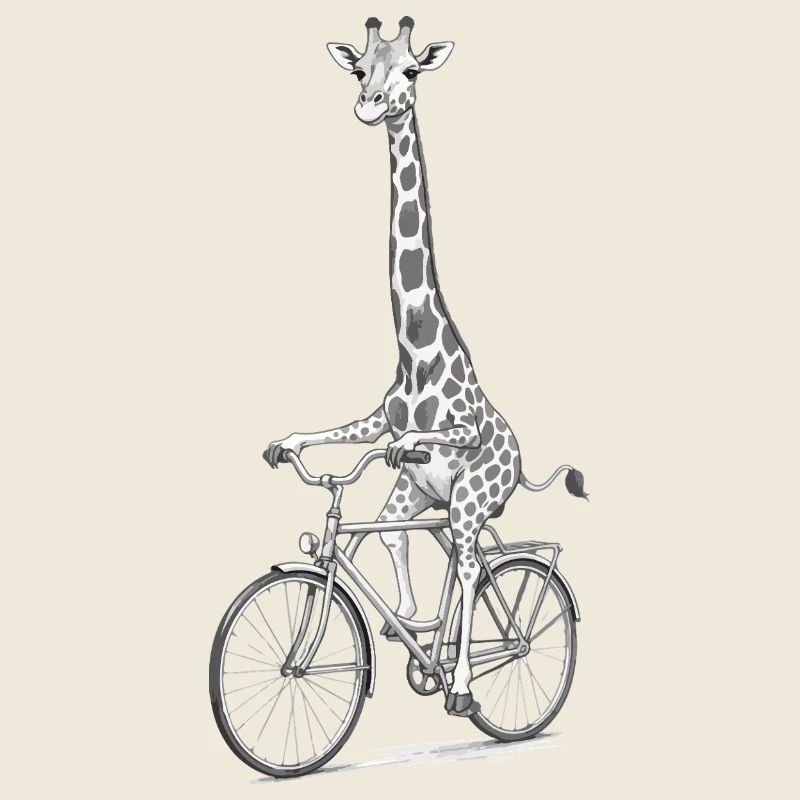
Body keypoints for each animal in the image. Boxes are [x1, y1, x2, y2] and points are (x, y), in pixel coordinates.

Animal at [266, 16, 587, 717]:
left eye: (411, 69)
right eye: (359, 67)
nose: (370, 105)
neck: (415, 353)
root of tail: (519, 461)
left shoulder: (445, 432)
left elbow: (421, 445)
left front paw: (448, 676)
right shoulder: (375, 424)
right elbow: (341, 463)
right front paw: (285, 446)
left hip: (471, 498)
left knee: (472, 567)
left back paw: (464, 680)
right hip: (417, 492)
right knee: (399, 534)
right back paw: (411, 625)